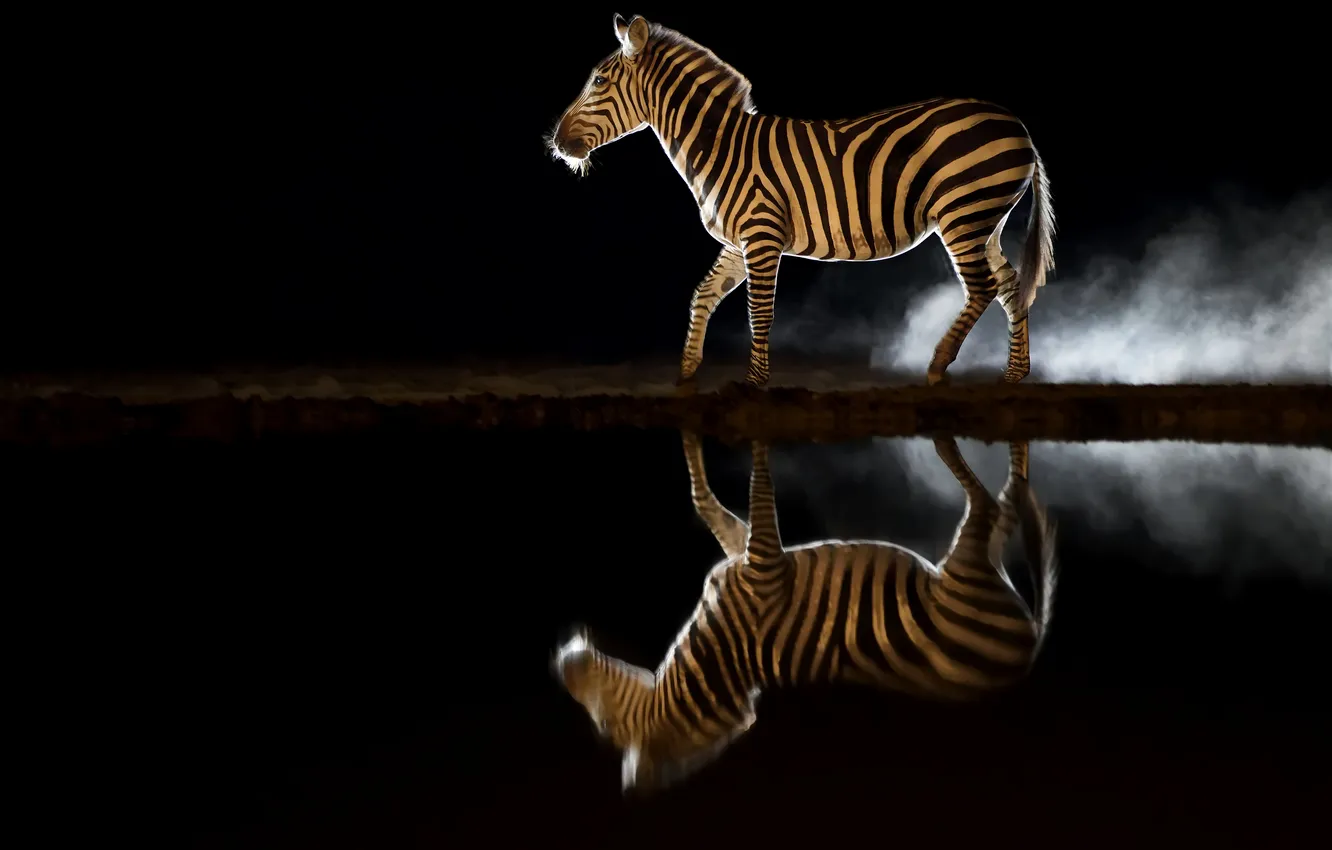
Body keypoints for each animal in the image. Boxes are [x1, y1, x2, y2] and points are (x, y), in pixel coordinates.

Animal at [547, 14, 1057, 390]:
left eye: (598, 81)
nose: (555, 142)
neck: (721, 147)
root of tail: (1020, 128)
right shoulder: (737, 241)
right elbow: (703, 295)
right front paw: (687, 373)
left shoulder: (761, 234)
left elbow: (760, 311)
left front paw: (753, 385)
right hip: (982, 220)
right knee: (1010, 284)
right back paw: (1014, 375)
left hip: (963, 212)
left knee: (983, 287)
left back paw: (937, 366)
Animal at [552, 431, 1059, 794]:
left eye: (602, 722)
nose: (560, 662)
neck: (724, 661)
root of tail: (1033, 643)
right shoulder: (763, 566)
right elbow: (741, 491)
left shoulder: (748, 558)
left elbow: (708, 501)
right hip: (969, 560)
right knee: (995, 500)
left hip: (976, 558)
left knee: (1004, 498)